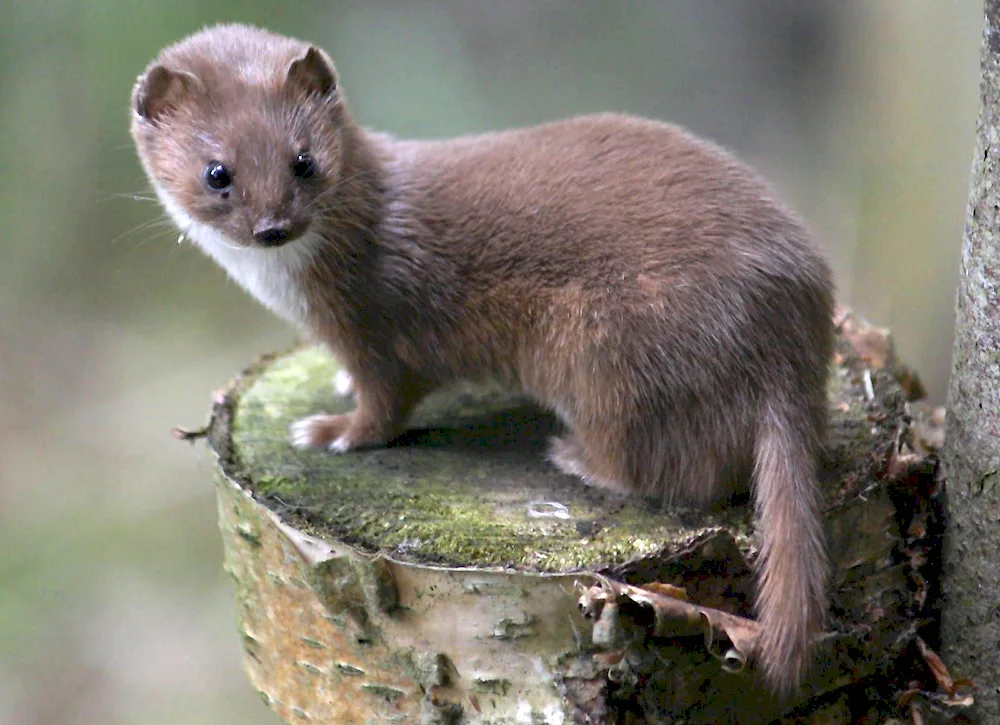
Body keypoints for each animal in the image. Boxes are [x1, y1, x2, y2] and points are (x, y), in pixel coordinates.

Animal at [133, 21, 836, 692]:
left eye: (303, 160)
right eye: (217, 172)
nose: (273, 227)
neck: (287, 286)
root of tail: (794, 331)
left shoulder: (372, 322)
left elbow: (385, 402)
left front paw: (333, 432)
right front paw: (336, 388)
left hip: (604, 352)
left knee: (683, 471)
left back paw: (577, 458)